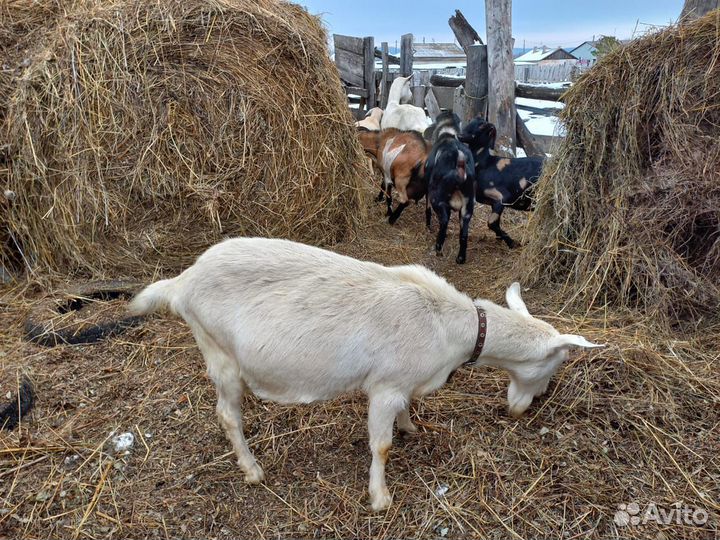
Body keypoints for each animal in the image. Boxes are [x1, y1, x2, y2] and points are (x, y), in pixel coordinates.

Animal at [129, 237, 601, 511]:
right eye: (553, 366)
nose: (520, 411)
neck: (451, 324)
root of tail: (181, 282)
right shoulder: (385, 385)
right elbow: (381, 446)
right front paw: (380, 498)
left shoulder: (403, 384)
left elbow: (406, 414)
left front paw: (412, 428)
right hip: (220, 352)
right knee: (228, 415)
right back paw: (252, 469)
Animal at [425, 112, 476, 264]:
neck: (448, 134)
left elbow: (427, 209)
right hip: (467, 208)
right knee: (464, 233)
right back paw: (460, 258)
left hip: (438, 199)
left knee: (444, 222)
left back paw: (438, 249)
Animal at [460, 117, 544, 248]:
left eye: (482, 126)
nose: (460, 135)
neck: (485, 164)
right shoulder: (493, 203)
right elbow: (497, 222)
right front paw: (500, 239)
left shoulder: (501, 197)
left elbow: (491, 223)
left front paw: (511, 243)